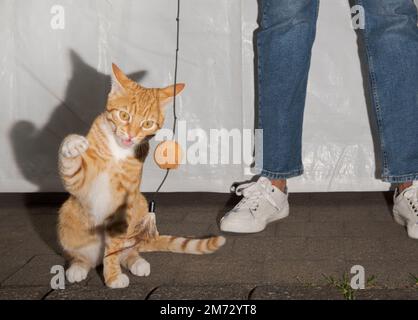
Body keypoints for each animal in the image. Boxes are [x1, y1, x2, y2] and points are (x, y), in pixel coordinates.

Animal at [58, 63, 225, 288]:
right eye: (124, 116)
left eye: (147, 124)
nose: (130, 136)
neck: (118, 152)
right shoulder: (81, 184)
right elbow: (71, 167)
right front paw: (72, 144)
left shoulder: (125, 202)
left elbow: (113, 249)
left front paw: (112, 277)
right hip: (67, 216)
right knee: (81, 257)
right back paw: (78, 267)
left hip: (140, 204)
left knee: (129, 251)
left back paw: (137, 262)